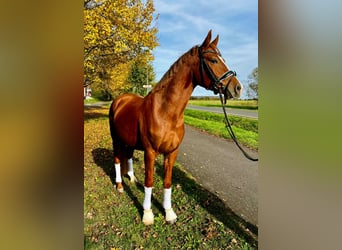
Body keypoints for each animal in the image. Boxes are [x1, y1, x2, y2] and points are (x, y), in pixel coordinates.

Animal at [108, 30, 242, 226]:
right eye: (213, 60)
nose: (238, 88)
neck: (165, 112)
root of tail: (120, 100)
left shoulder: (172, 152)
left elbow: (167, 182)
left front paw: (169, 213)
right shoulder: (150, 152)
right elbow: (149, 182)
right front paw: (147, 214)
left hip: (129, 141)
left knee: (129, 156)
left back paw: (132, 178)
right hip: (116, 139)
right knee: (117, 159)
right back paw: (119, 186)